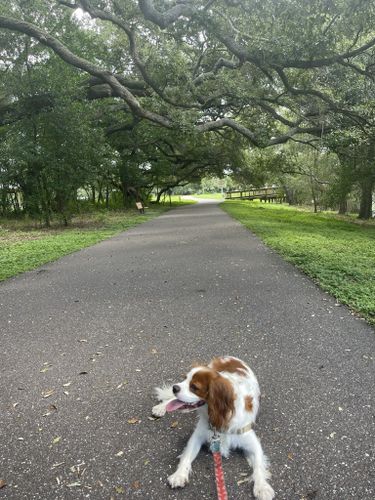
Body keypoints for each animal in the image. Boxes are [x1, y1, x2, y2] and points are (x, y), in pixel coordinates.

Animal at [152, 356, 276, 500]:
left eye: (194, 387)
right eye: (185, 379)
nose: (175, 387)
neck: (221, 416)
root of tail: (229, 357)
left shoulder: (251, 441)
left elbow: (259, 466)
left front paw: (262, 487)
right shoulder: (198, 435)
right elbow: (187, 456)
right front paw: (179, 475)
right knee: (171, 400)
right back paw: (161, 408)